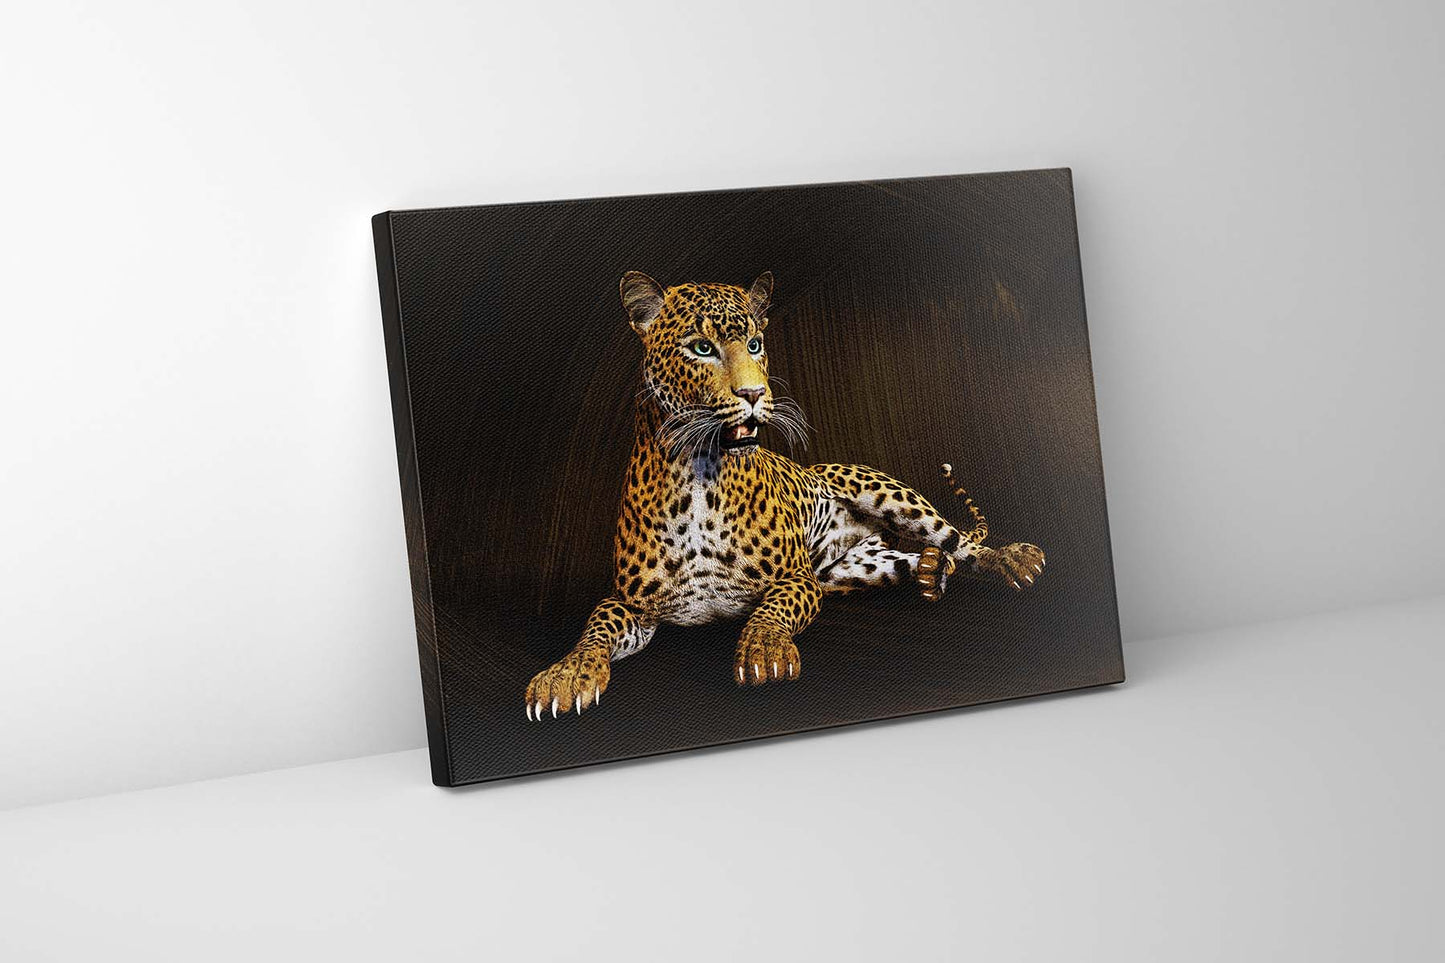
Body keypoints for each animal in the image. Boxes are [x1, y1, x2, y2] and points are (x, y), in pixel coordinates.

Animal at [524, 270, 1046, 720]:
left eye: (755, 344)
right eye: (701, 348)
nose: (754, 393)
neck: (698, 474)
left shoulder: (797, 578)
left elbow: (771, 609)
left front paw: (765, 651)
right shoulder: (632, 603)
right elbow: (596, 627)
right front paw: (564, 675)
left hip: (886, 492)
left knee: (958, 540)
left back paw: (1012, 559)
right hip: (852, 571)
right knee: (917, 559)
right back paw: (931, 570)